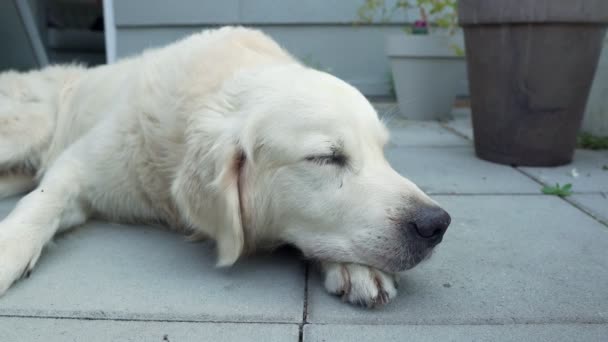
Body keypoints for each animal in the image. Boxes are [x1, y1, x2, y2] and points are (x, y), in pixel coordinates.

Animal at [0, 26, 448, 308]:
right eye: (327, 157)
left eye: (383, 153)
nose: (436, 224)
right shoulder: (77, 167)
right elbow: (41, 204)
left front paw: (357, 269)